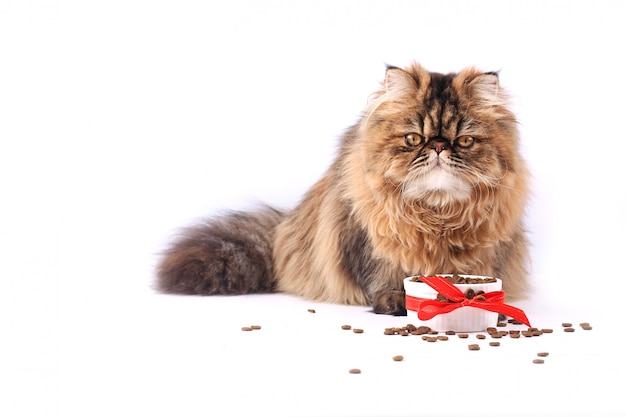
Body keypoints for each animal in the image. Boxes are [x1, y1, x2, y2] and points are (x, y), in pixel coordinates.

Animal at [156, 62, 528, 316]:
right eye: (413, 139)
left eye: (464, 141)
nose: (437, 146)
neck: (436, 211)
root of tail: (282, 229)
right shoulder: (368, 241)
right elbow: (385, 277)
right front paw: (396, 300)